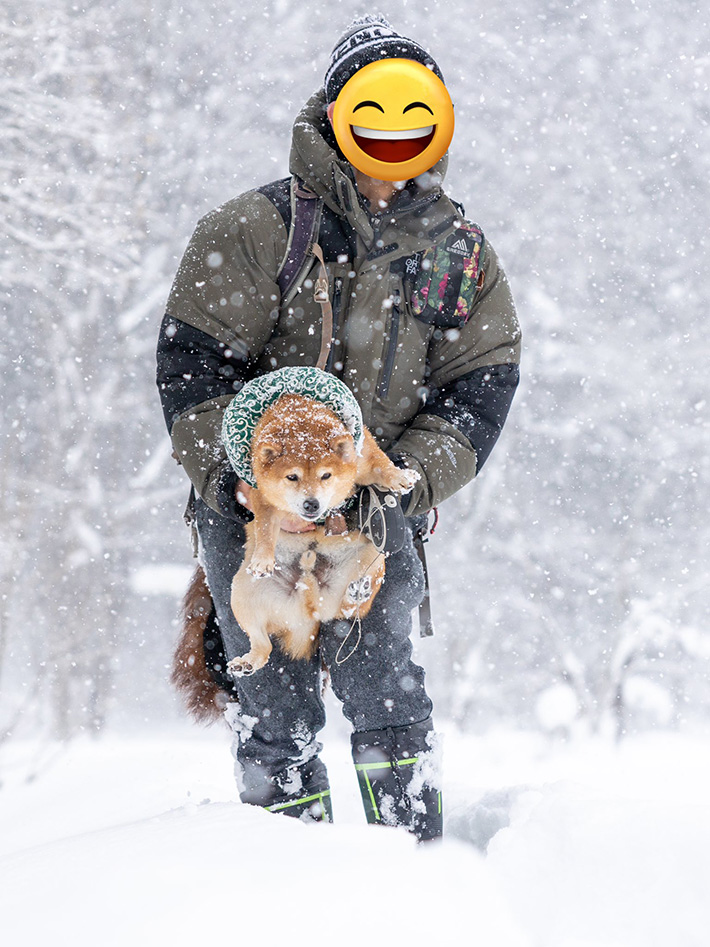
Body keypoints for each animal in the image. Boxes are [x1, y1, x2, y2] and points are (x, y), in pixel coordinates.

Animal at [228, 396, 418, 676]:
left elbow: (381, 465)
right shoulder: (262, 495)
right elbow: (264, 527)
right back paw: (247, 662)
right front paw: (262, 560)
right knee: (263, 645)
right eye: (292, 476)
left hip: (373, 555)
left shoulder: (362, 455)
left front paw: (401, 476)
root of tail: (311, 608)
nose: (312, 504)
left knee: (350, 610)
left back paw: (357, 593)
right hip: (241, 594)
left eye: (326, 475)